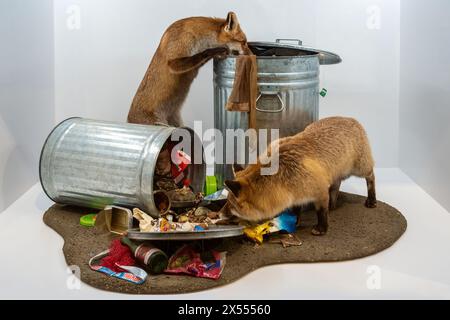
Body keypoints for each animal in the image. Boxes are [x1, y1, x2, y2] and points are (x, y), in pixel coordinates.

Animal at [224, 117, 376, 235]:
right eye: (227, 202)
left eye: (232, 205)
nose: (219, 214)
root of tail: (350, 118)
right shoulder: (295, 194)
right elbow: (296, 210)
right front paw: (294, 223)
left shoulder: (320, 191)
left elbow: (321, 211)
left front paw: (321, 228)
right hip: (335, 175)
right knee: (336, 186)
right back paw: (333, 205)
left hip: (360, 168)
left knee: (371, 177)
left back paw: (372, 200)